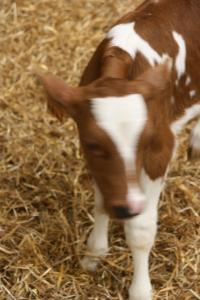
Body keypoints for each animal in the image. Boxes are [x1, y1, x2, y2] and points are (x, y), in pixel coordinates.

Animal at [35, 0, 200, 300]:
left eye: (146, 140)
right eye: (92, 143)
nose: (127, 207)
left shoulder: (160, 149)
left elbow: (141, 230)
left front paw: (140, 290)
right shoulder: (98, 162)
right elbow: (102, 202)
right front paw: (94, 253)